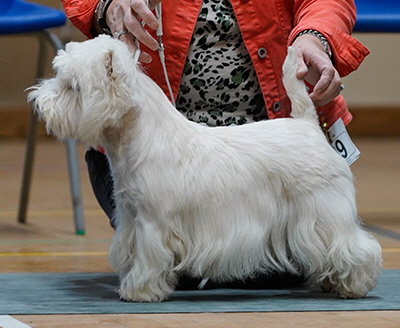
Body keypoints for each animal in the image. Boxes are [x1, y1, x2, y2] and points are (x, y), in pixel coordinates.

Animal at [28, 35, 382, 302]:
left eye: (72, 86)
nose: (38, 103)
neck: (138, 136)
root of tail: (308, 125)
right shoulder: (130, 216)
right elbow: (131, 252)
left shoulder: (153, 223)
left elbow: (148, 258)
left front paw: (140, 291)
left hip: (323, 211)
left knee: (353, 245)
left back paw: (354, 285)